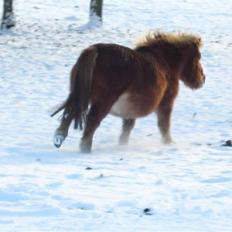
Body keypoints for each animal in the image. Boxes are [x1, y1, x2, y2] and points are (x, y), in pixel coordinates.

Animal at [50, 31, 205, 153]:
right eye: (198, 57)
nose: (202, 79)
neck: (165, 64)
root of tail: (95, 50)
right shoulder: (166, 104)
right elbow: (164, 125)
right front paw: (168, 143)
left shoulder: (130, 111)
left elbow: (126, 130)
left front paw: (122, 146)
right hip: (102, 103)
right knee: (91, 122)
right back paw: (85, 149)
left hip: (80, 95)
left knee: (70, 114)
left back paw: (59, 138)